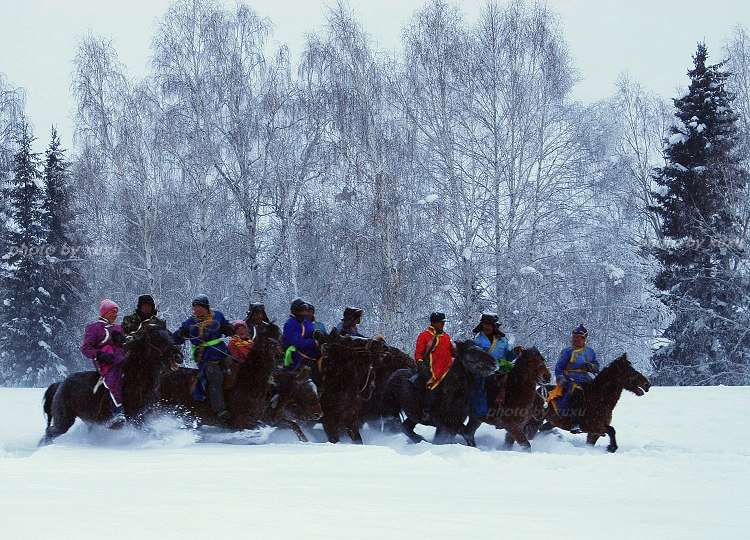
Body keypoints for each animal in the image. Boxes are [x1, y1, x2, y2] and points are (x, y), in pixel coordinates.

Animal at [41, 322, 181, 446]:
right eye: (157, 339)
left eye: (169, 335)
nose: (178, 356)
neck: (136, 379)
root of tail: (60, 384)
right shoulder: (135, 419)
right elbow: (153, 433)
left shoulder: (145, 417)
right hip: (64, 420)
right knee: (49, 433)